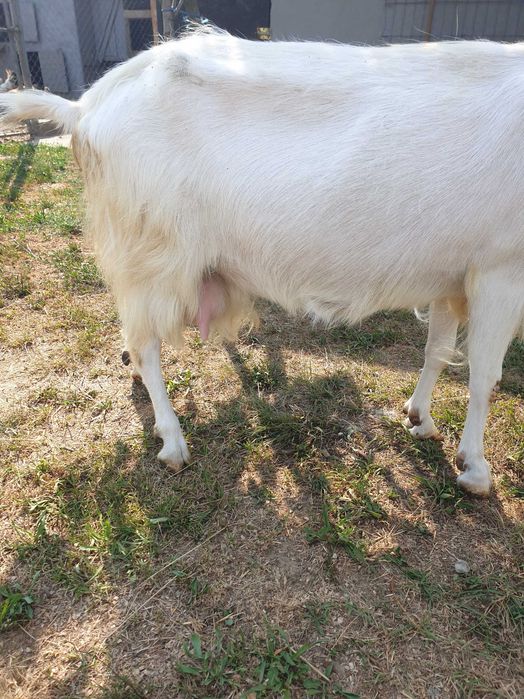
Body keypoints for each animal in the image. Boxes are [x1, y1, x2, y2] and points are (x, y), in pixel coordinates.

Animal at [1, 31, 523, 496]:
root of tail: (86, 107)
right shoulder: (501, 269)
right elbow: (485, 375)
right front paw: (476, 470)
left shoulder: (453, 275)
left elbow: (438, 351)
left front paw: (421, 418)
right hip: (156, 253)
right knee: (146, 342)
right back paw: (172, 440)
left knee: (134, 329)